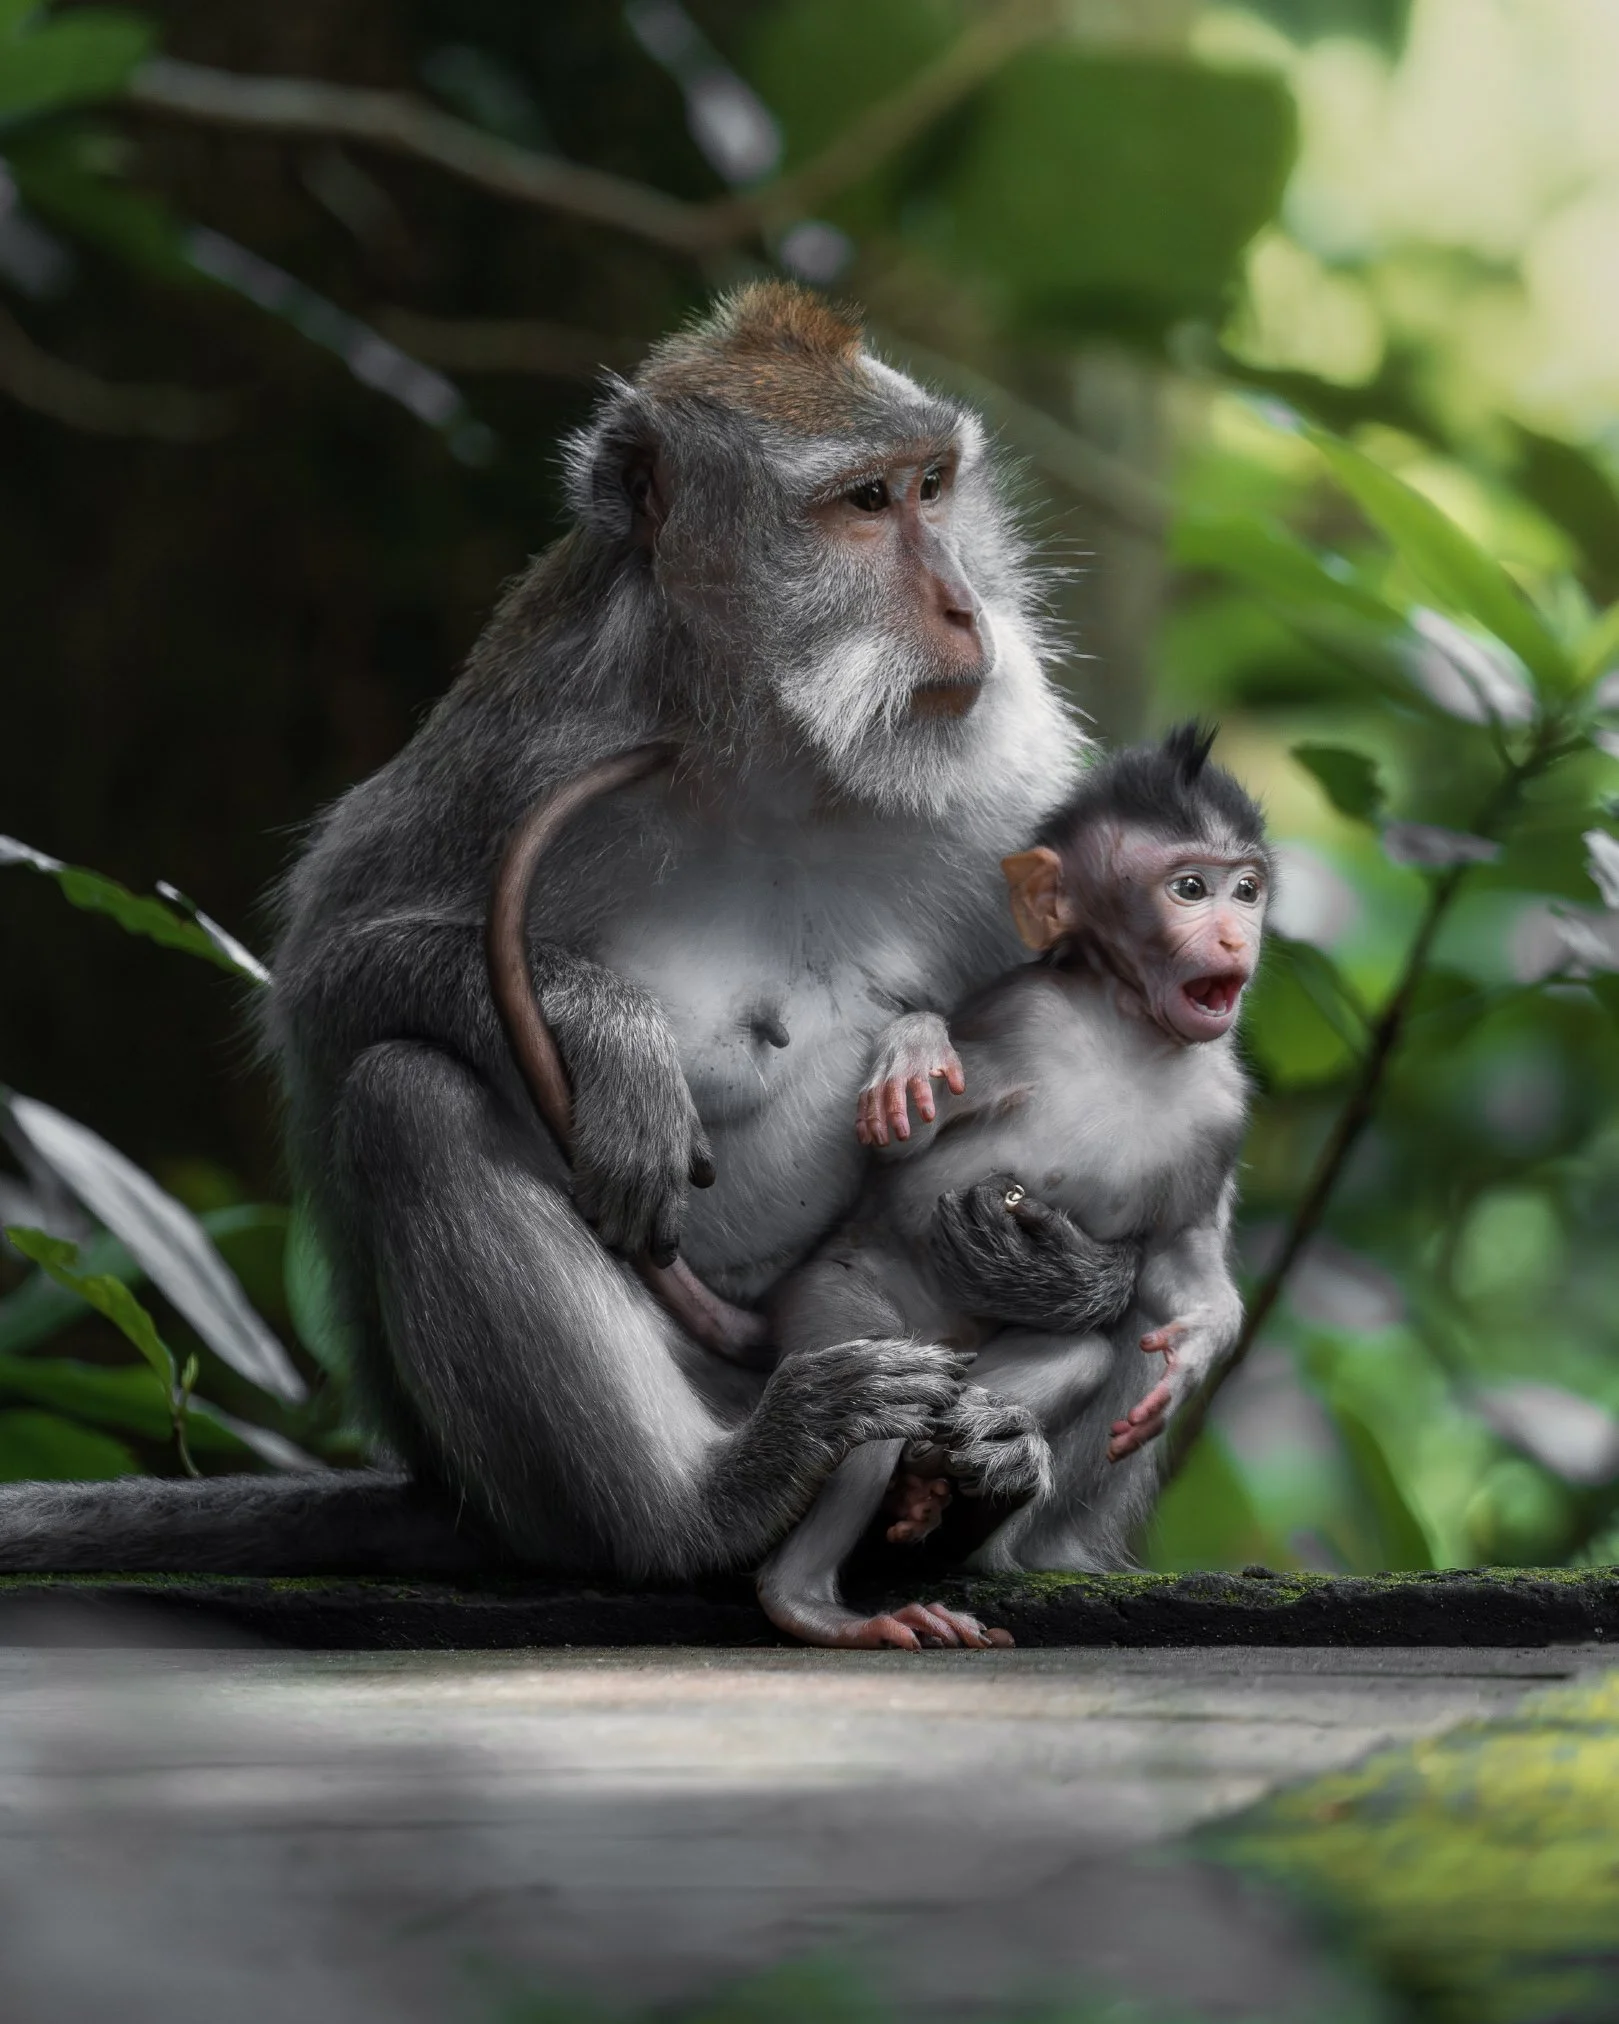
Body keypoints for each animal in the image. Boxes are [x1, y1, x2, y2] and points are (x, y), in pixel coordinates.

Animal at [0, 282, 1100, 1582]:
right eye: (864, 503)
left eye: (933, 484)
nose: (964, 606)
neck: (775, 754)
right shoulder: (534, 736)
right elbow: (329, 975)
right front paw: (611, 1043)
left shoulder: (1014, 797)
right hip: (536, 1478)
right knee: (408, 1097)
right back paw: (710, 1503)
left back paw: (967, 1485)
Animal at [755, 725, 1271, 1649]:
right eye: (1188, 888)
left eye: (1245, 889)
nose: (1231, 937)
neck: (1132, 1032)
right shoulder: (1023, 1014)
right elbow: (898, 1150)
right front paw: (917, 1049)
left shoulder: (1225, 1107)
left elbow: (1178, 1260)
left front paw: (1192, 1347)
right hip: (832, 1294)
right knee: (870, 1400)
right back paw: (809, 1601)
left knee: (1072, 1354)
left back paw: (941, 1477)